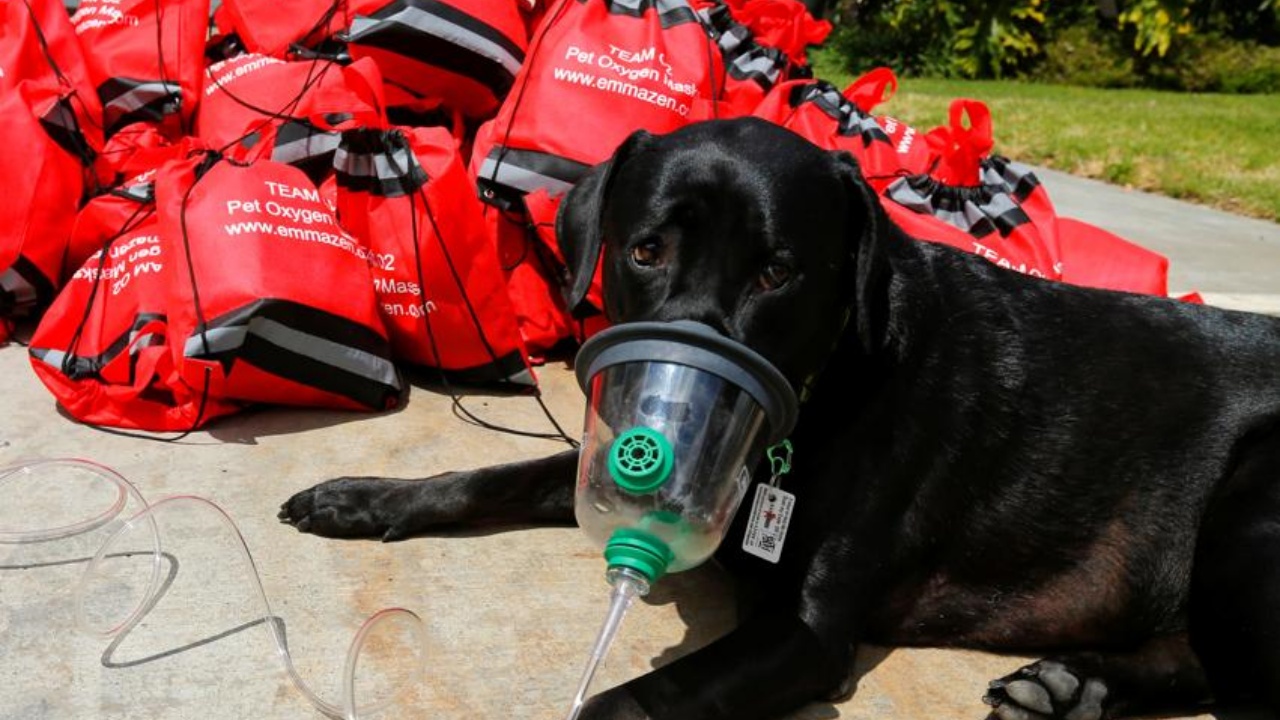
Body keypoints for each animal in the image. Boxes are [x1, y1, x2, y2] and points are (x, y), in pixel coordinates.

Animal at [285, 117, 1280, 717]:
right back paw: (1072, 684)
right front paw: (362, 498)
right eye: (645, 250)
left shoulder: (803, 633)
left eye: (777, 272)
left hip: (1247, 504)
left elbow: (630, 697)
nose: (681, 392)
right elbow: (491, 475)